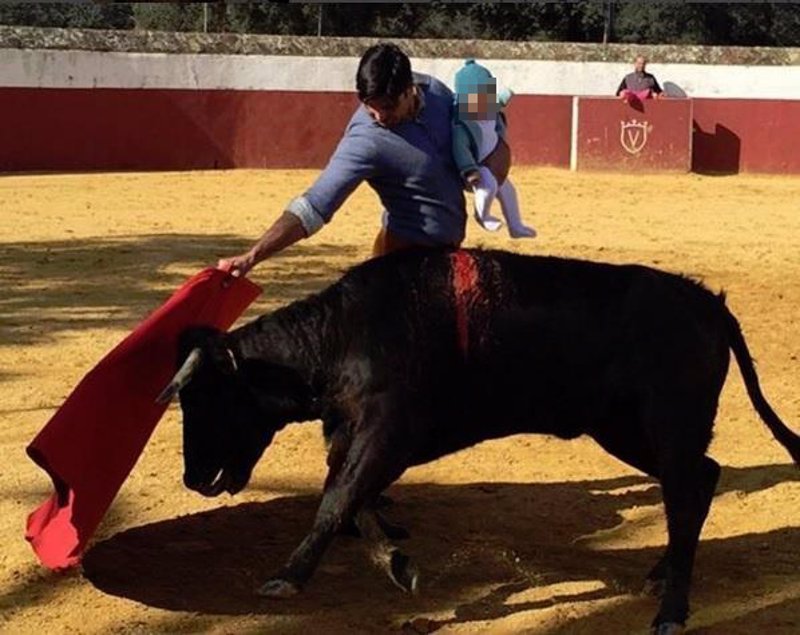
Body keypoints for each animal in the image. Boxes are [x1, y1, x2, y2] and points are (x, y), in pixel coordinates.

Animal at [159, 250, 796, 635]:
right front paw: (398, 564)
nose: (192, 478)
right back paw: (662, 573)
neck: (342, 335)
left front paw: (287, 578)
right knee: (701, 478)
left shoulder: (386, 432)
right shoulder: (358, 436)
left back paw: (671, 611)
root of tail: (709, 303)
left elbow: (337, 501)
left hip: (666, 424)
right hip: (624, 430)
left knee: (686, 493)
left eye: (206, 399)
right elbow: (351, 501)